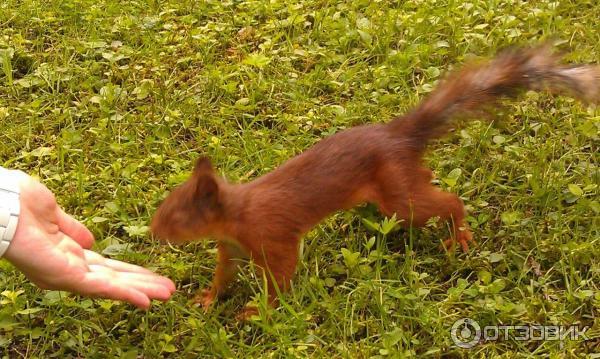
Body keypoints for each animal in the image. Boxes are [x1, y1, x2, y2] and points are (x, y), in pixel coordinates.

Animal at [151, 45, 600, 318]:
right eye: (167, 203)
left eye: (180, 217)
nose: (154, 231)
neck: (235, 213)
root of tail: (397, 136)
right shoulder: (230, 248)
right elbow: (224, 275)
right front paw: (208, 298)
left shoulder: (273, 238)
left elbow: (281, 277)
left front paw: (258, 311)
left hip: (399, 195)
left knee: (448, 201)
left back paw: (459, 235)